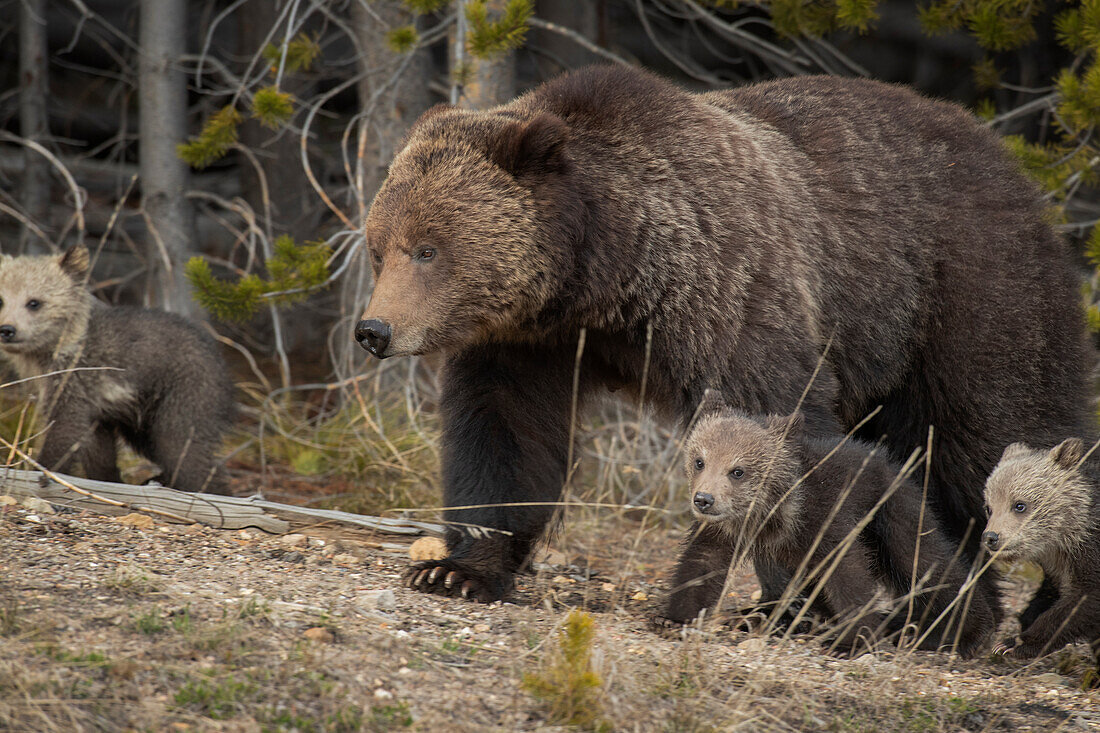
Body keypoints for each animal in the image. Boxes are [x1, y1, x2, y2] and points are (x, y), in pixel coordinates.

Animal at [356, 64, 1086, 598]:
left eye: (428, 249)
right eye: (379, 247)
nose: (373, 329)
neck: (607, 277)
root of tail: (1011, 163)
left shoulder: (727, 292)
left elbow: (775, 425)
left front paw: (793, 596)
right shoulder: (529, 340)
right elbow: (503, 433)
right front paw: (455, 567)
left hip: (966, 302)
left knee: (981, 438)